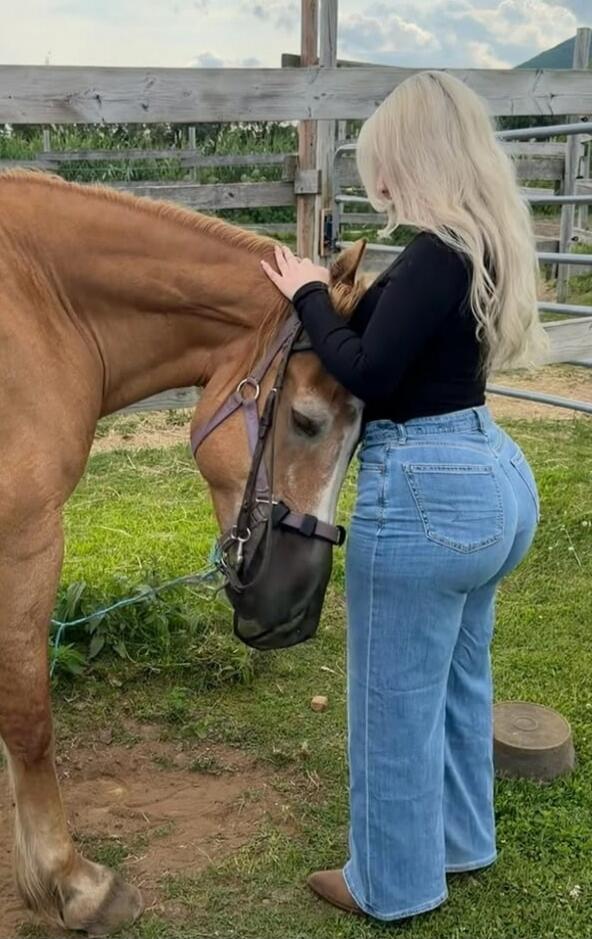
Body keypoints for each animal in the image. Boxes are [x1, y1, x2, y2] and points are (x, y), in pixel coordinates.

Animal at [0, 169, 366, 935]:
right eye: (306, 421)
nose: (297, 609)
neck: (38, 302)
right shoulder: (24, 537)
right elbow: (27, 713)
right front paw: (71, 880)